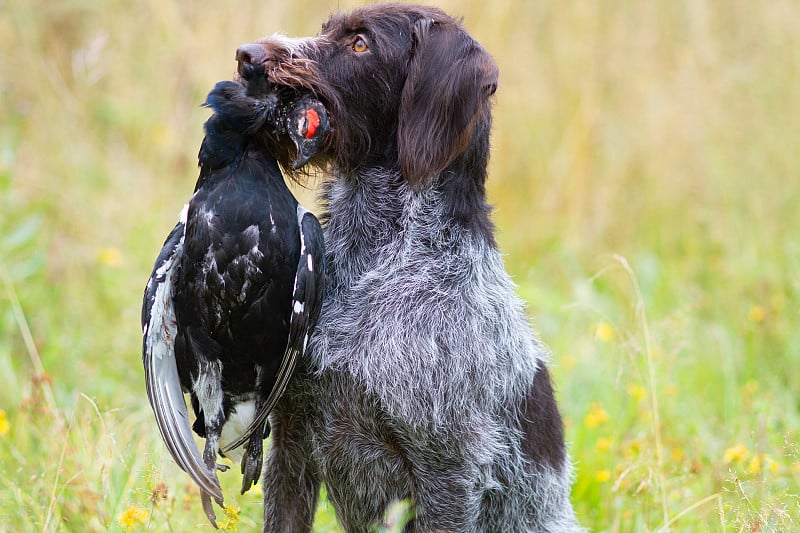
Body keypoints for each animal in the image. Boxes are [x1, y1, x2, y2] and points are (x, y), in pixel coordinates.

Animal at [234, 4, 580, 532]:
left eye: (360, 44)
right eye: (325, 30)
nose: (247, 56)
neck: (377, 254)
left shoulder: (447, 473)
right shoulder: (290, 444)